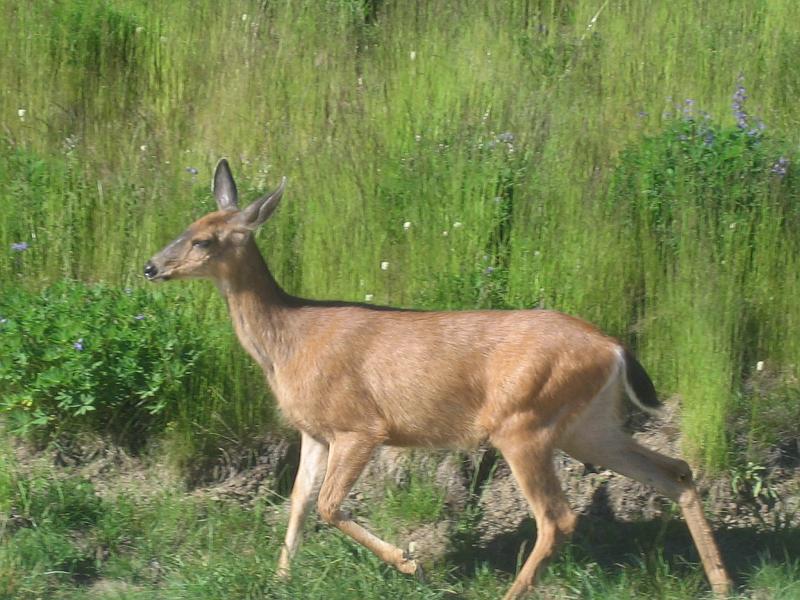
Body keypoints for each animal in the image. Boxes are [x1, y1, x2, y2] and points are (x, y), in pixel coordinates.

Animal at [144, 157, 732, 596]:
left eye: (206, 240)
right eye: (185, 228)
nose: (151, 266)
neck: (289, 340)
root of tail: (615, 347)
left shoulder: (360, 426)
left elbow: (329, 506)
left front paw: (411, 563)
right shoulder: (313, 431)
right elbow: (299, 503)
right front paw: (280, 579)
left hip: (524, 420)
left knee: (558, 517)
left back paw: (512, 593)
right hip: (588, 425)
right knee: (676, 471)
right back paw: (721, 583)